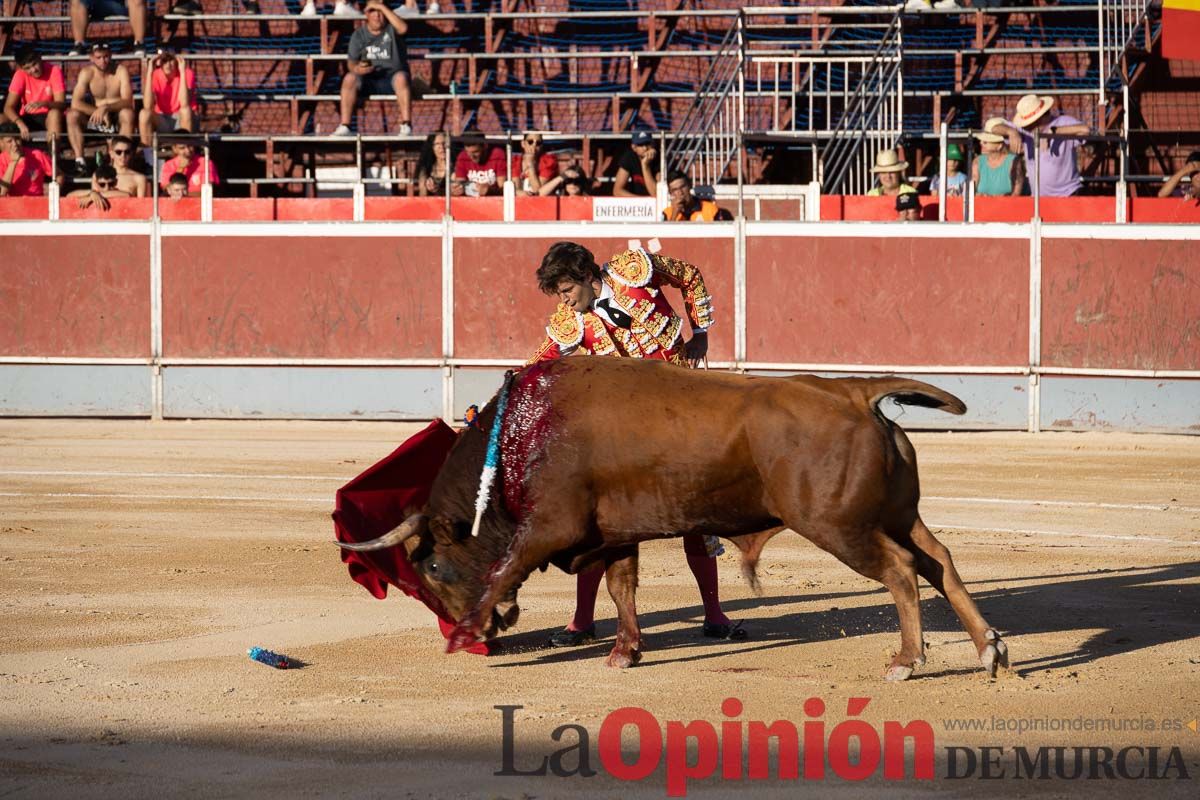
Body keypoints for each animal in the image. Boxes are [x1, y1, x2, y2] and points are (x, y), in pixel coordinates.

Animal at [340, 357, 1012, 681]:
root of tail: (853, 392)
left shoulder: (552, 527)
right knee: (939, 561)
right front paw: (624, 652)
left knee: (901, 571)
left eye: (431, 567)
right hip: (896, 514)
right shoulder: (613, 533)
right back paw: (989, 650)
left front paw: (465, 632)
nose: (497, 629)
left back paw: (906, 661)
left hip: (839, 525)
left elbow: (506, 569)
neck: (515, 442)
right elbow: (621, 587)